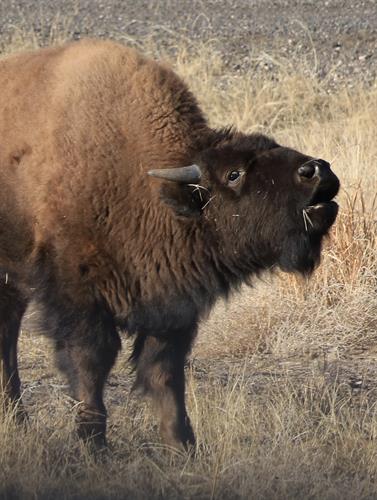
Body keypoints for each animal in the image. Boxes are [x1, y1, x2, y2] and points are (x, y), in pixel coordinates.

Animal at [0, 39, 338, 450]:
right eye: (234, 173)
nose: (318, 170)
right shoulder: (77, 295)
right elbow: (91, 364)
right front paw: (92, 444)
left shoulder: (172, 306)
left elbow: (163, 373)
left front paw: (182, 447)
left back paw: (16, 418)